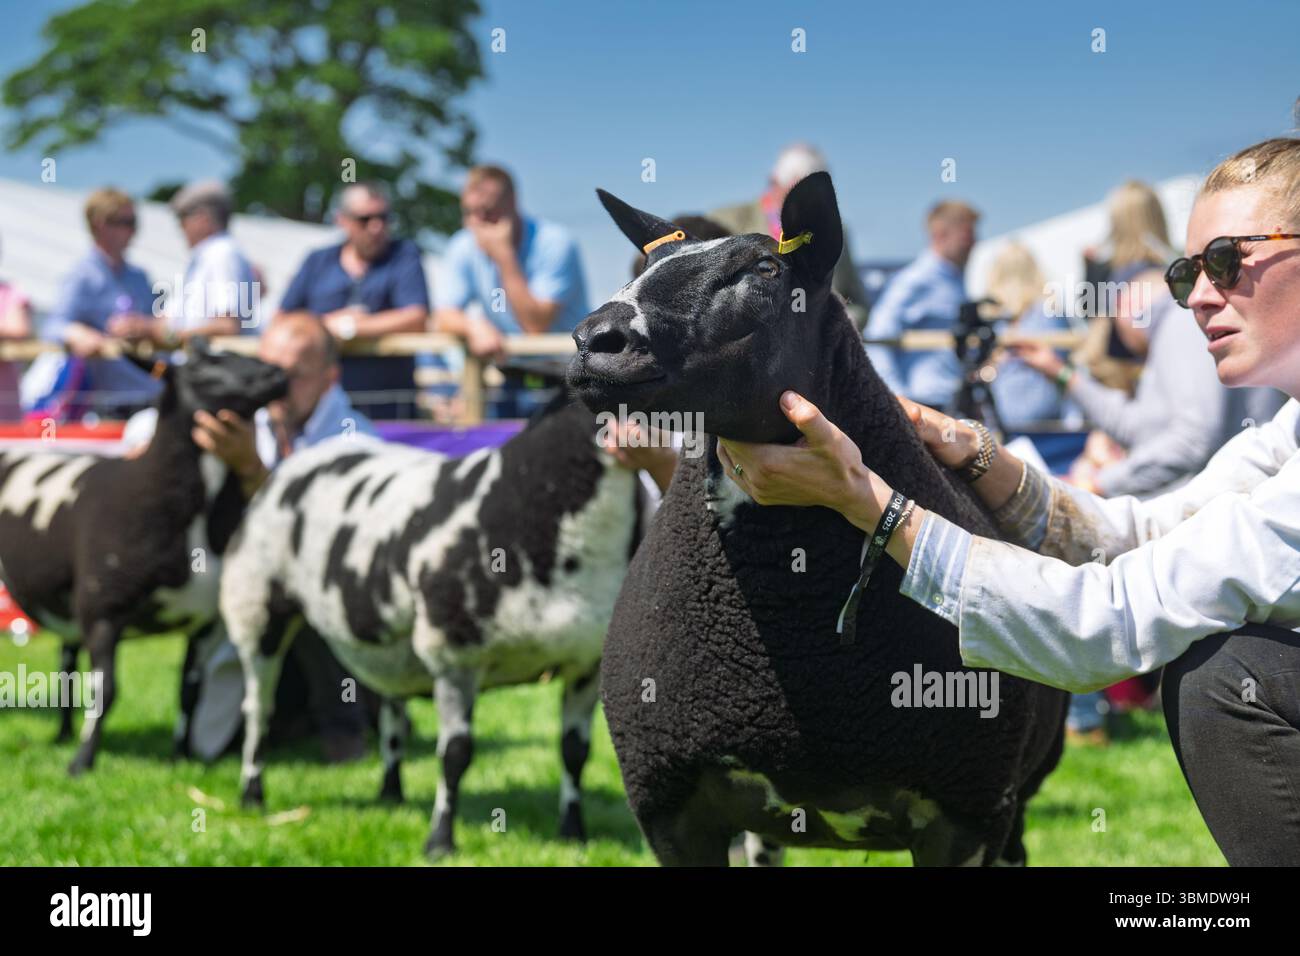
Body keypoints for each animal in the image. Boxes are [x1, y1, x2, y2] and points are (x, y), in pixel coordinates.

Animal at [0, 343, 287, 774]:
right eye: (201, 364)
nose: (278, 374)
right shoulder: (104, 608)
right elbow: (106, 691)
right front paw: (82, 763)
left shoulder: (203, 621)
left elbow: (189, 690)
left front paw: (181, 757)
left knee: (67, 662)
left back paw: (63, 734)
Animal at [218, 394, 642, 857]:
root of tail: (297, 460)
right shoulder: (454, 653)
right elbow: (455, 754)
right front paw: (440, 841)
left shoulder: (586, 664)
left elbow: (574, 752)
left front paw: (573, 833)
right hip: (255, 608)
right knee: (258, 712)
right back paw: (252, 795)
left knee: (391, 711)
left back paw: (391, 794)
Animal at [567, 172, 1069, 866]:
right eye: (643, 266)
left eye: (764, 269)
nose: (594, 341)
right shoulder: (668, 804)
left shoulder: (966, 813)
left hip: (1016, 797)